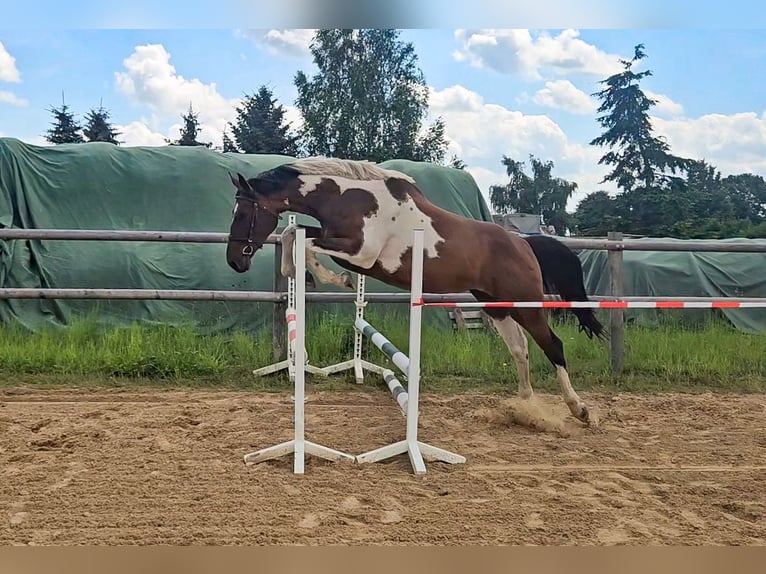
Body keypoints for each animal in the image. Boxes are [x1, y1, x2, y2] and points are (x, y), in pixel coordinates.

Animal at [226, 160, 608, 426]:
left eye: (242, 212)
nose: (235, 262)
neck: (352, 198)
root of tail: (524, 244)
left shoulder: (361, 254)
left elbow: (305, 244)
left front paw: (334, 279)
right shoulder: (338, 241)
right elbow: (294, 235)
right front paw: (296, 274)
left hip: (526, 305)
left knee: (552, 345)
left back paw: (580, 410)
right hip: (497, 306)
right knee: (520, 348)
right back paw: (524, 406)